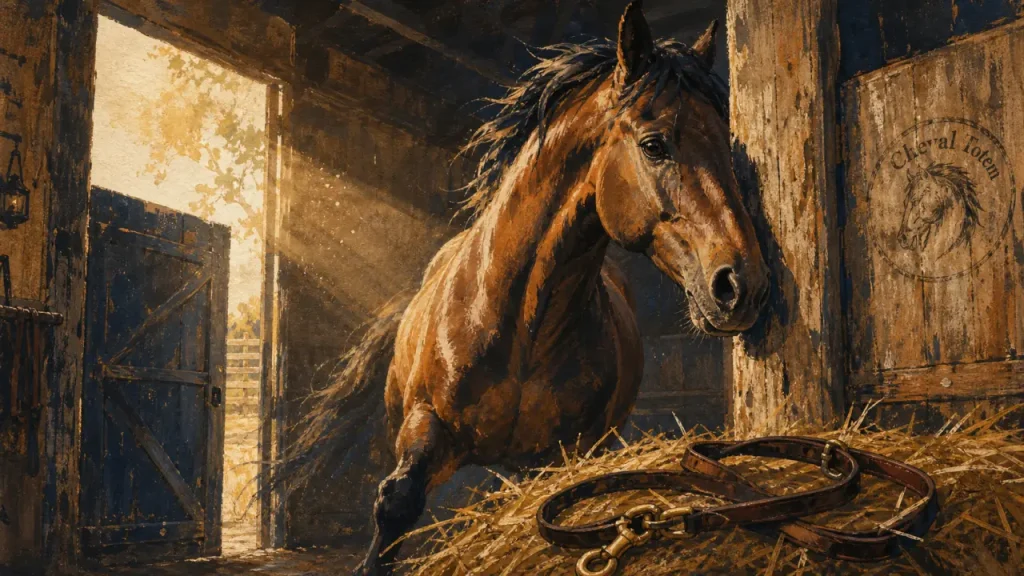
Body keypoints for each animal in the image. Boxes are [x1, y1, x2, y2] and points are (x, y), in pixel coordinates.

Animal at [271, 3, 769, 574]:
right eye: (654, 144)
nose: (743, 285)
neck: (518, 325)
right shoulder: (425, 423)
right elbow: (396, 500)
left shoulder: (562, 454)